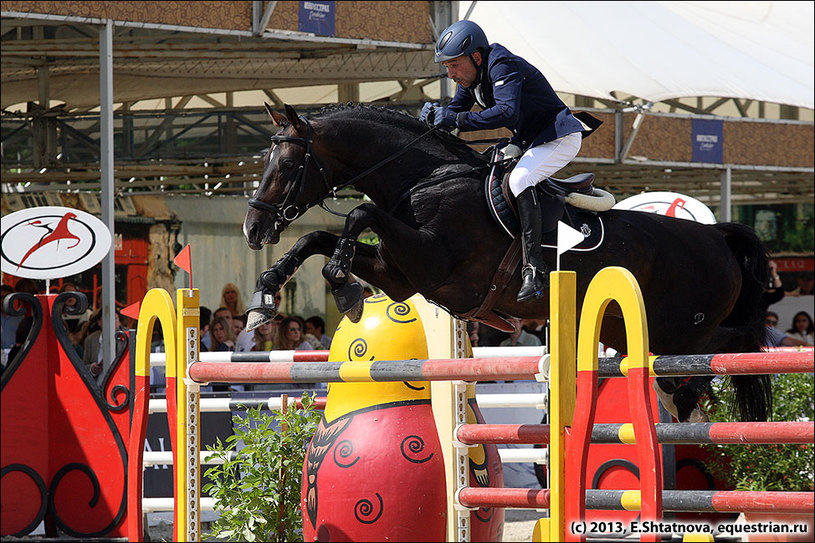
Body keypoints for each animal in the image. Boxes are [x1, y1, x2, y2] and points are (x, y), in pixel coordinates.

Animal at [242, 103, 772, 424]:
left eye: (286, 166)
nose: (253, 229)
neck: (425, 178)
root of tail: (717, 235)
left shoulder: (435, 268)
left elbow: (358, 214)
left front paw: (342, 286)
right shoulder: (400, 277)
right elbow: (317, 235)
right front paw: (264, 295)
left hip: (682, 330)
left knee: (732, 344)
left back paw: (686, 398)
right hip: (629, 333)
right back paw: (682, 405)